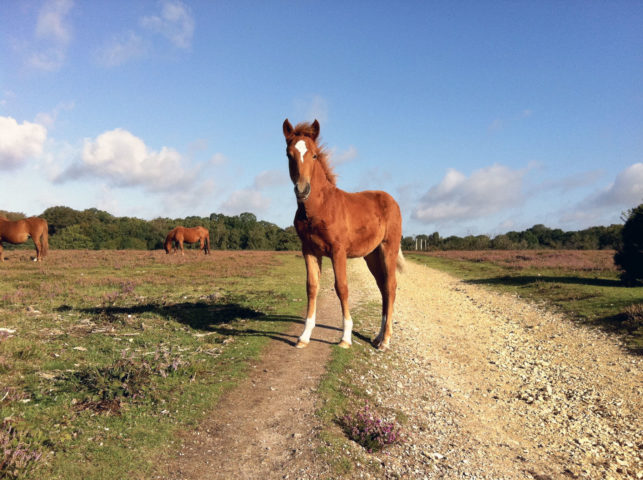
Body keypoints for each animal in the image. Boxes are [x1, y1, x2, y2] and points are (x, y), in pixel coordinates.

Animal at [282, 119, 402, 352]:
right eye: (289, 154)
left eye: (314, 155)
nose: (302, 190)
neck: (320, 208)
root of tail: (391, 200)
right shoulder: (309, 250)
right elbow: (312, 287)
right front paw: (304, 336)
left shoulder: (338, 251)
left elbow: (342, 288)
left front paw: (346, 338)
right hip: (372, 255)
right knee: (382, 287)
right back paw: (378, 337)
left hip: (388, 248)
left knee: (391, 286)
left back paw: (385, 340)